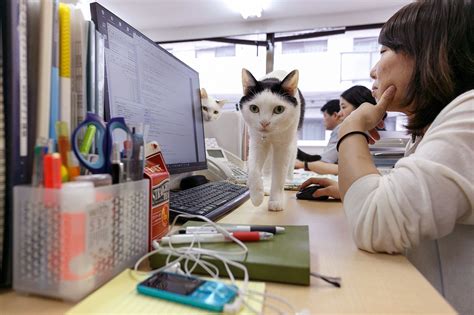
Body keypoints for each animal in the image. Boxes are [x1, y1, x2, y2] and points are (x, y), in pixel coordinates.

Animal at [239, 69, 306, 212]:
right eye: (254, 108)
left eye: (279, 109)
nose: (264, 123)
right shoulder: (257, 142)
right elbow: (253, 169)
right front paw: (256, 196)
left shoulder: (284, 146)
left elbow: (279, 174)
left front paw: (276, 201)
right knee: (268, 166)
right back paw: (266, 185)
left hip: (293, 138)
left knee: (292, 158)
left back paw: (289, 179)